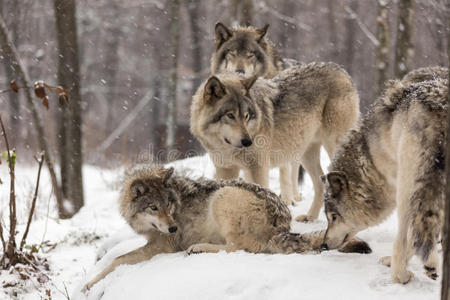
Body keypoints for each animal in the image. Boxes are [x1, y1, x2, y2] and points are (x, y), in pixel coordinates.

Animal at [190, 62, 358, 220]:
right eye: (230, 115)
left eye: (246, 116)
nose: (248, 142)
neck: (225, 147)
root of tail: (341, 70)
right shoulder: (226, 169)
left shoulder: (258, 167)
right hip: (305, 154)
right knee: (321, 184)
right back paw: (310, 217)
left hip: (332, 146)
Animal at [318, 75, 448, 284]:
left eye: (333, 217)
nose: (322, 245)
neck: (370, 156)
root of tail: (440, 108)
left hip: (406, 190)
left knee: (404, 238)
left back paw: (400, 275)